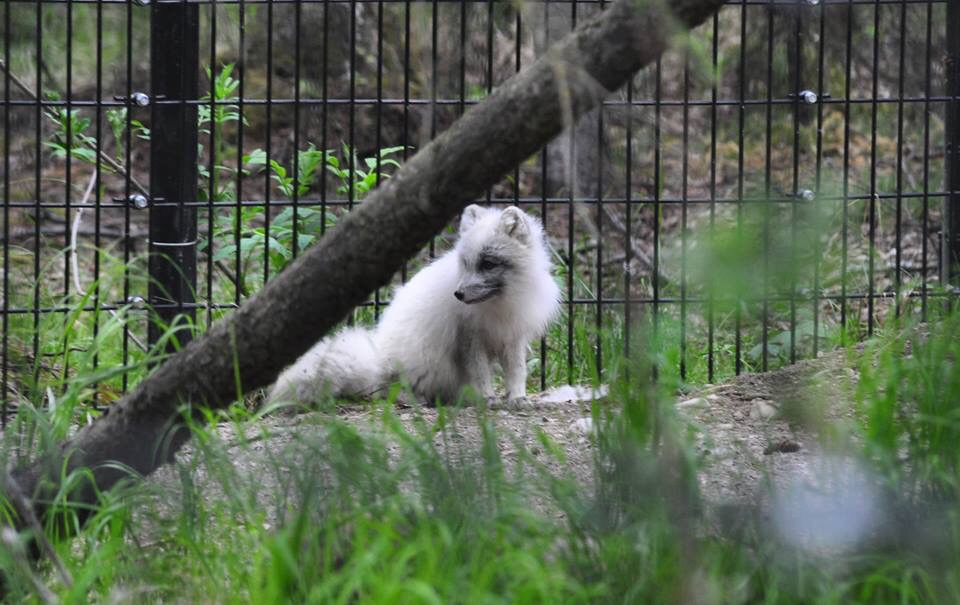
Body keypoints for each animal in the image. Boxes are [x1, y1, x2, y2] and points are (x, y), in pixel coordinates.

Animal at [269, 204, 561, 406]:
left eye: (487, 264)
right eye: (465, 264)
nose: (458, 294)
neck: (501, 303)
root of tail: (378, 361)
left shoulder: (513, 337)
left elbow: (517, 371)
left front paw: (517, 398)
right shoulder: (470, 338)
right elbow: (479, 374)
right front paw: (487, 399)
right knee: (388, 392)